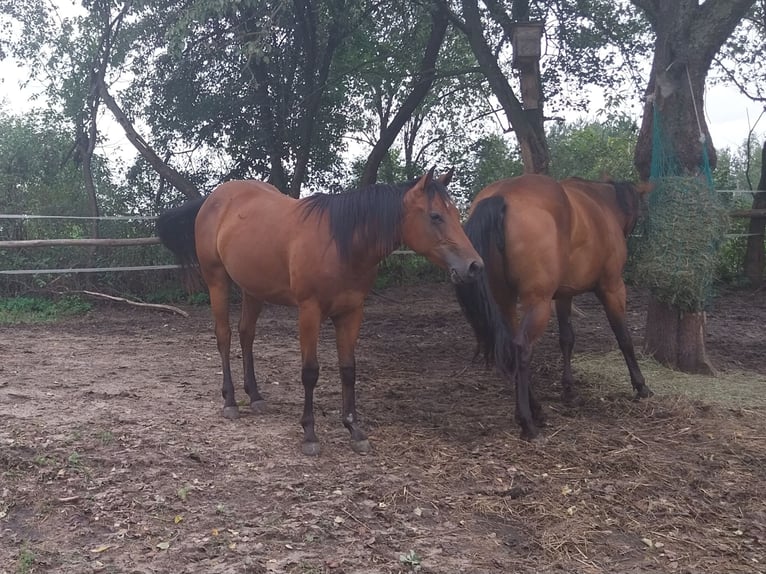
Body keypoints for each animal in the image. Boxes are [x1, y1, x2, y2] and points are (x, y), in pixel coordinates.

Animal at [156, 169, 484, 456]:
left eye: (456, 214)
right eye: (435, 216)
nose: (474, 266)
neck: (342, 243)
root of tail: (214, 198)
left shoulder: (352, 312)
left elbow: (348, 369)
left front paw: (354, 430)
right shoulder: (309, 312)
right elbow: (310, 372)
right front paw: (310, 434)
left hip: (253, 289)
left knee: (246, 334)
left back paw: (256, 396)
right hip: (217, 281)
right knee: (224, 337)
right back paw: (231, 402)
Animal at [452, 173, 656, 438]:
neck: (601, 204)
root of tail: (501, 196)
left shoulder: (564, 295)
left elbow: (567, 338)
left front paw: (569, 390)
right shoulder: (612, 288)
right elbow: (624, 338)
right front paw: (640, 386)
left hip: (505, 301)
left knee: (511, 346)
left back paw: (536, 410)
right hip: (538, 303)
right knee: (522, 348)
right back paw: (527, 422)